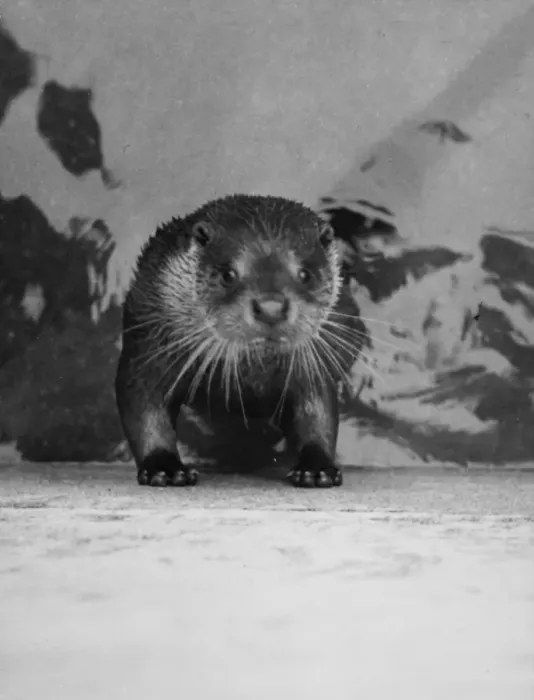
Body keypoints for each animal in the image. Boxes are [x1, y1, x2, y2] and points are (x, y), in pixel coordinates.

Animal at [115, 194, 365, 488]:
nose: (271, 307)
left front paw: (316, 468)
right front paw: (163, 467)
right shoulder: (150, 340)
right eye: (227, 274)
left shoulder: (311, 365)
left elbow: (318, 412)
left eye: (305, 274)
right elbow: (144, 403)